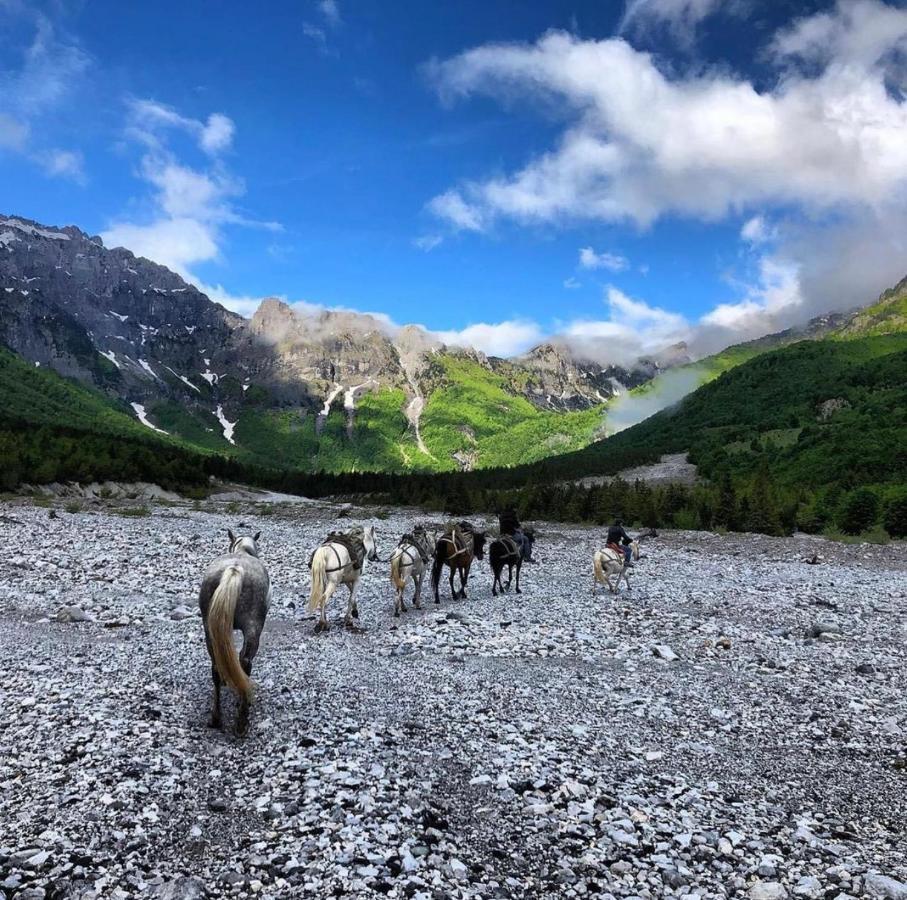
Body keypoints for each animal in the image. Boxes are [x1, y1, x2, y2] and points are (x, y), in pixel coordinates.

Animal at [198, 532, 272, 736]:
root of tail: (234, 569)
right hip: (254, 626)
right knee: (245, 662)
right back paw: (242, 719)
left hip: (209, 628)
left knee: (216, 666)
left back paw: (216, 718)